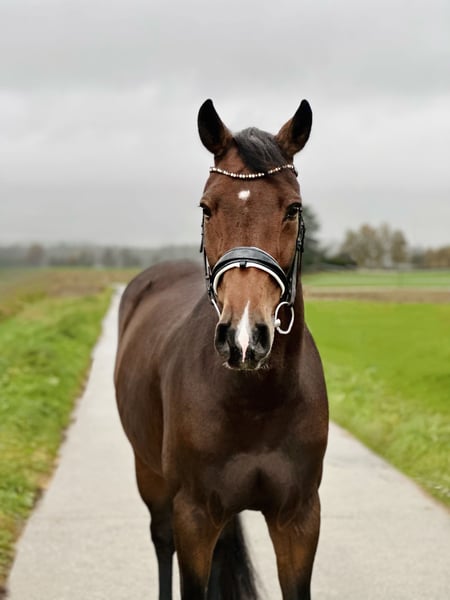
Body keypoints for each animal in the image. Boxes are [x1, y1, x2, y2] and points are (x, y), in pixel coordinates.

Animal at [114, 99, 328, 600]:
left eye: (293, 208)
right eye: (206, 207)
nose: (244, 337)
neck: (256, 402)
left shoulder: (299, 520)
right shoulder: (194, 516)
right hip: (150, 478)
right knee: (161, 542)